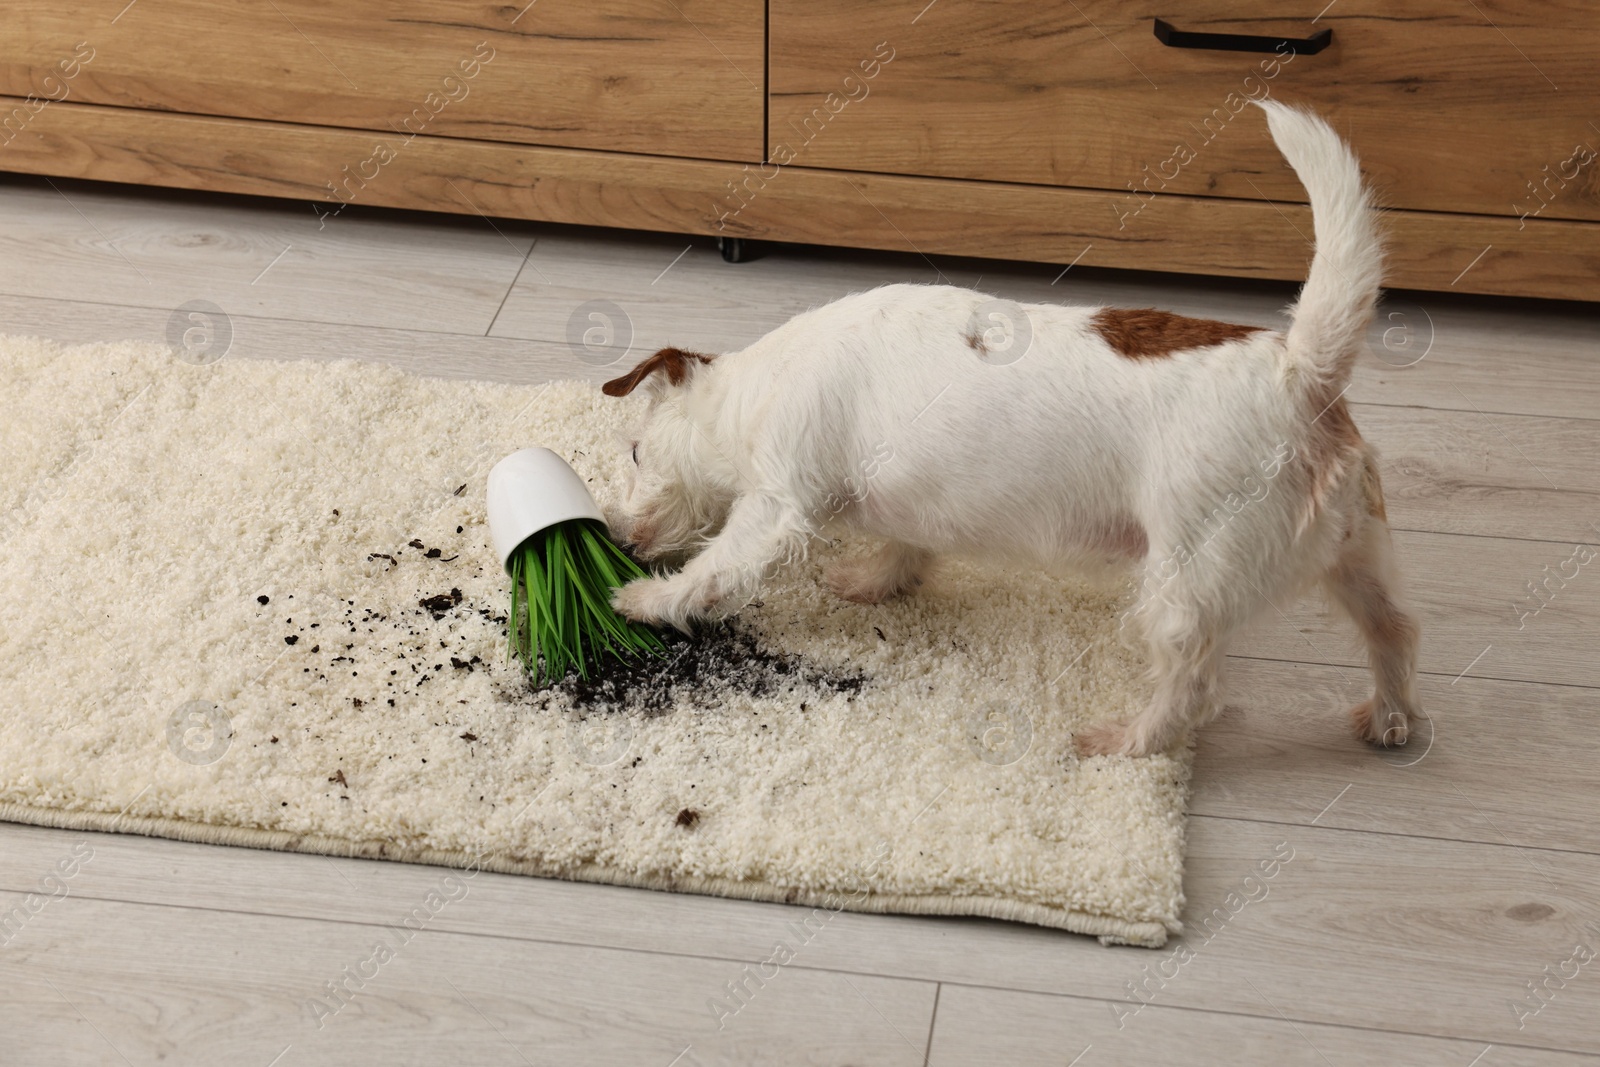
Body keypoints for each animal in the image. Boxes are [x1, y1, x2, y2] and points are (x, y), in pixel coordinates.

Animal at [601, 102, 1427, 758]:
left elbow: (715, 570)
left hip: (1184, 587)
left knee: (1193, 688)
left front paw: (641, 598)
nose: (617, 534)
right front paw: (874, 580)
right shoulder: (908, 495)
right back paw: (1390, 719)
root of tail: (1302, 371)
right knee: (1394, 631)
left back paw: (1124, 740)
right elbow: (903, 544)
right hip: (1361, 554)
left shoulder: (773, 505)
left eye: (635, 450)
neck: (751, 392)